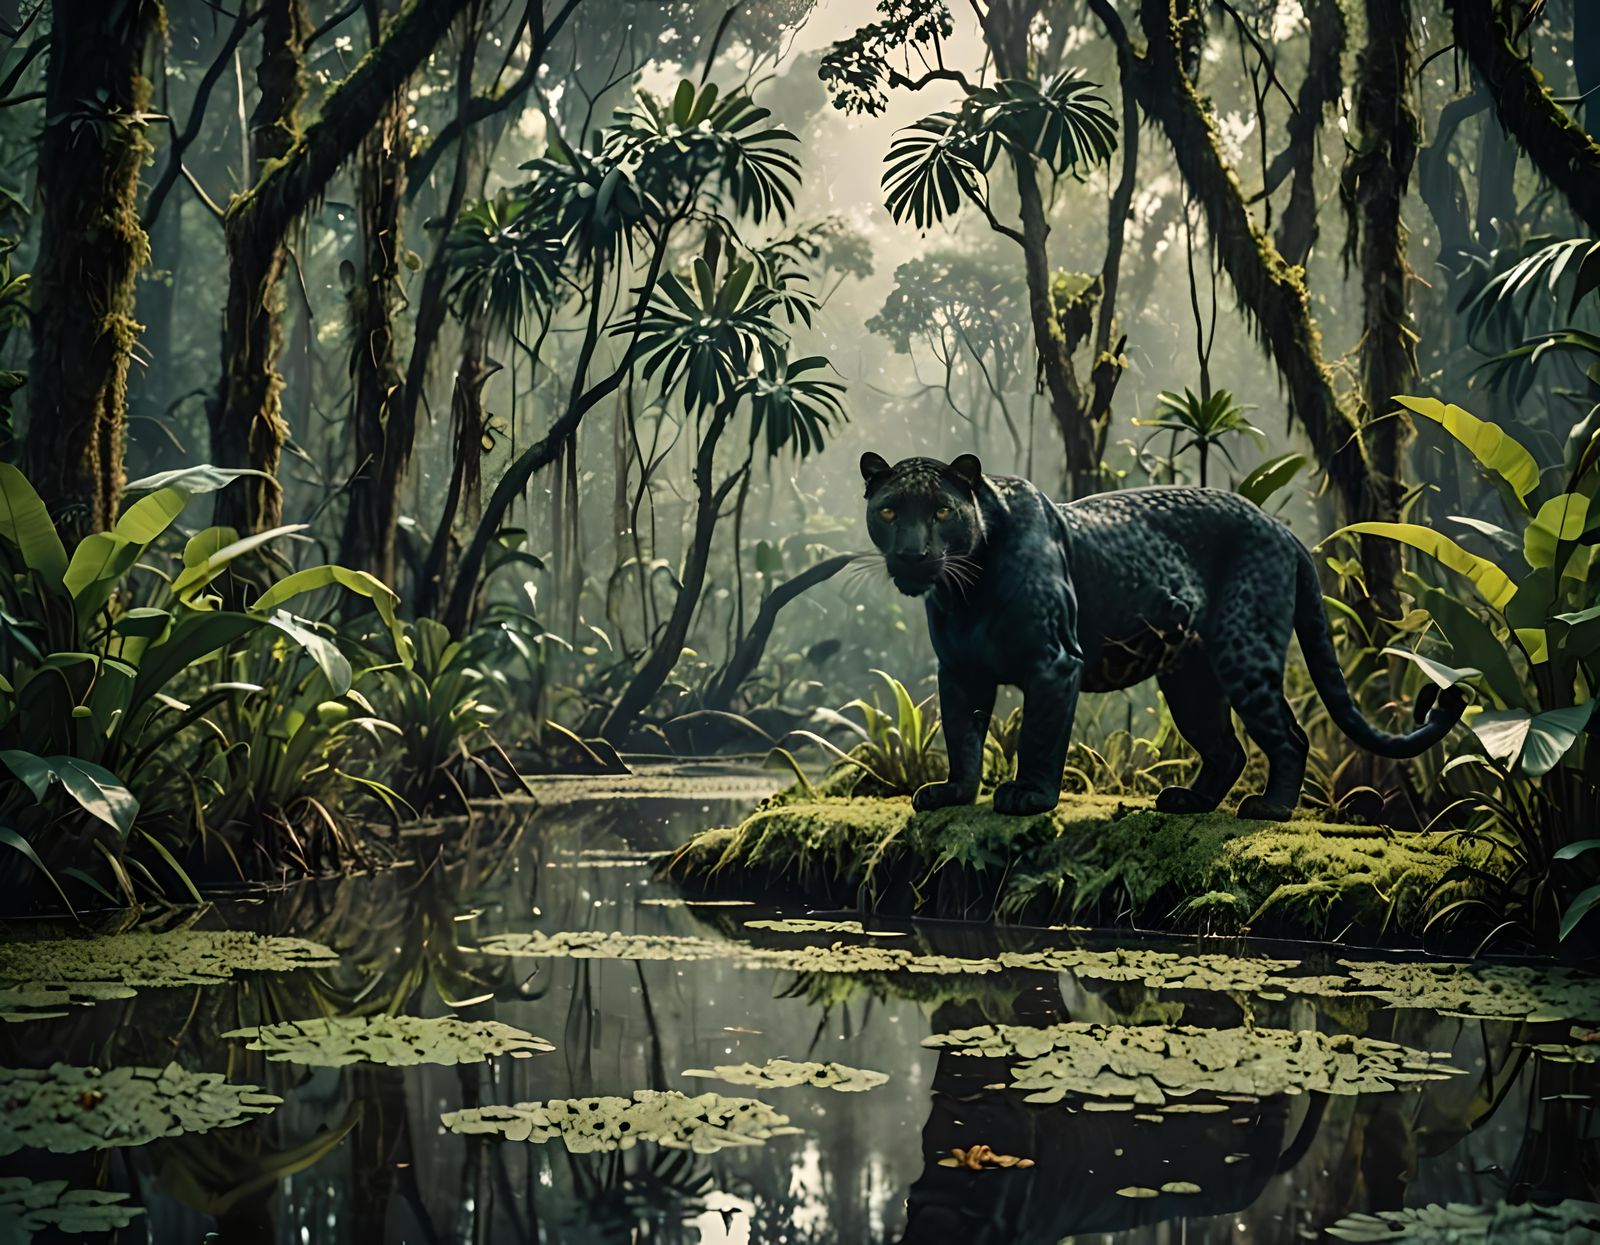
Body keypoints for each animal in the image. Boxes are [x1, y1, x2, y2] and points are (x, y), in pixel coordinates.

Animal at [860, 451, 1466, 819]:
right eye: (889, 511)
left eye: (942, 510)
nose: (913, 554)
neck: (967, 591)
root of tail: (1280, 529)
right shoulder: (961, 672)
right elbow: (961, 734)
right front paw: (954, 794)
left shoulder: (1054, 663)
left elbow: (1037, 733)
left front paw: (1028, 795)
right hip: (1191, 681)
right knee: (1226, 748)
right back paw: (1189, 801)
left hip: (1243, 652)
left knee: (1289, 737)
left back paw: (1269, 808)